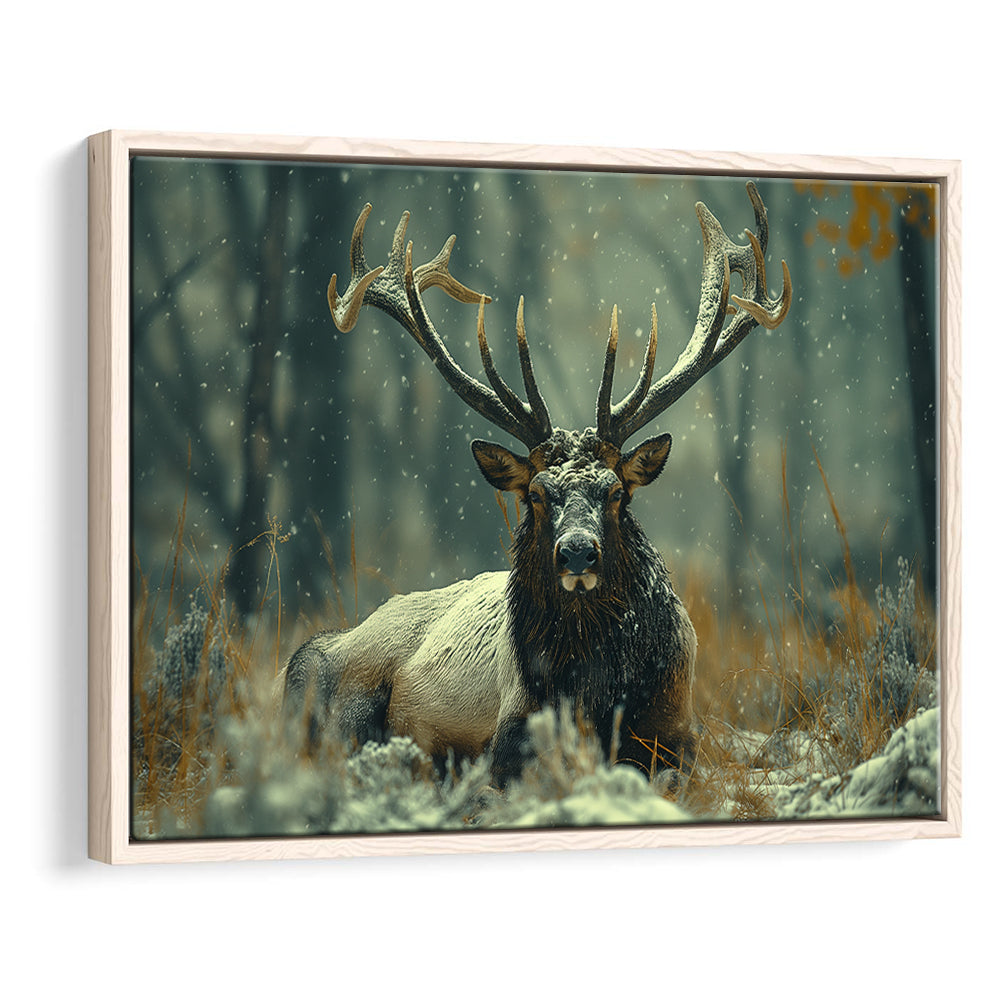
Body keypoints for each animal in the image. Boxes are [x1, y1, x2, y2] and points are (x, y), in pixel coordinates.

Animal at [281, 181, 791, 789]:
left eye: (616, 492)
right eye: (537, 494)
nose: (577, 553)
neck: (597, 695)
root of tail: (326, 642)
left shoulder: (679, 733)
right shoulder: (511, 729)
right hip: (341, 701)